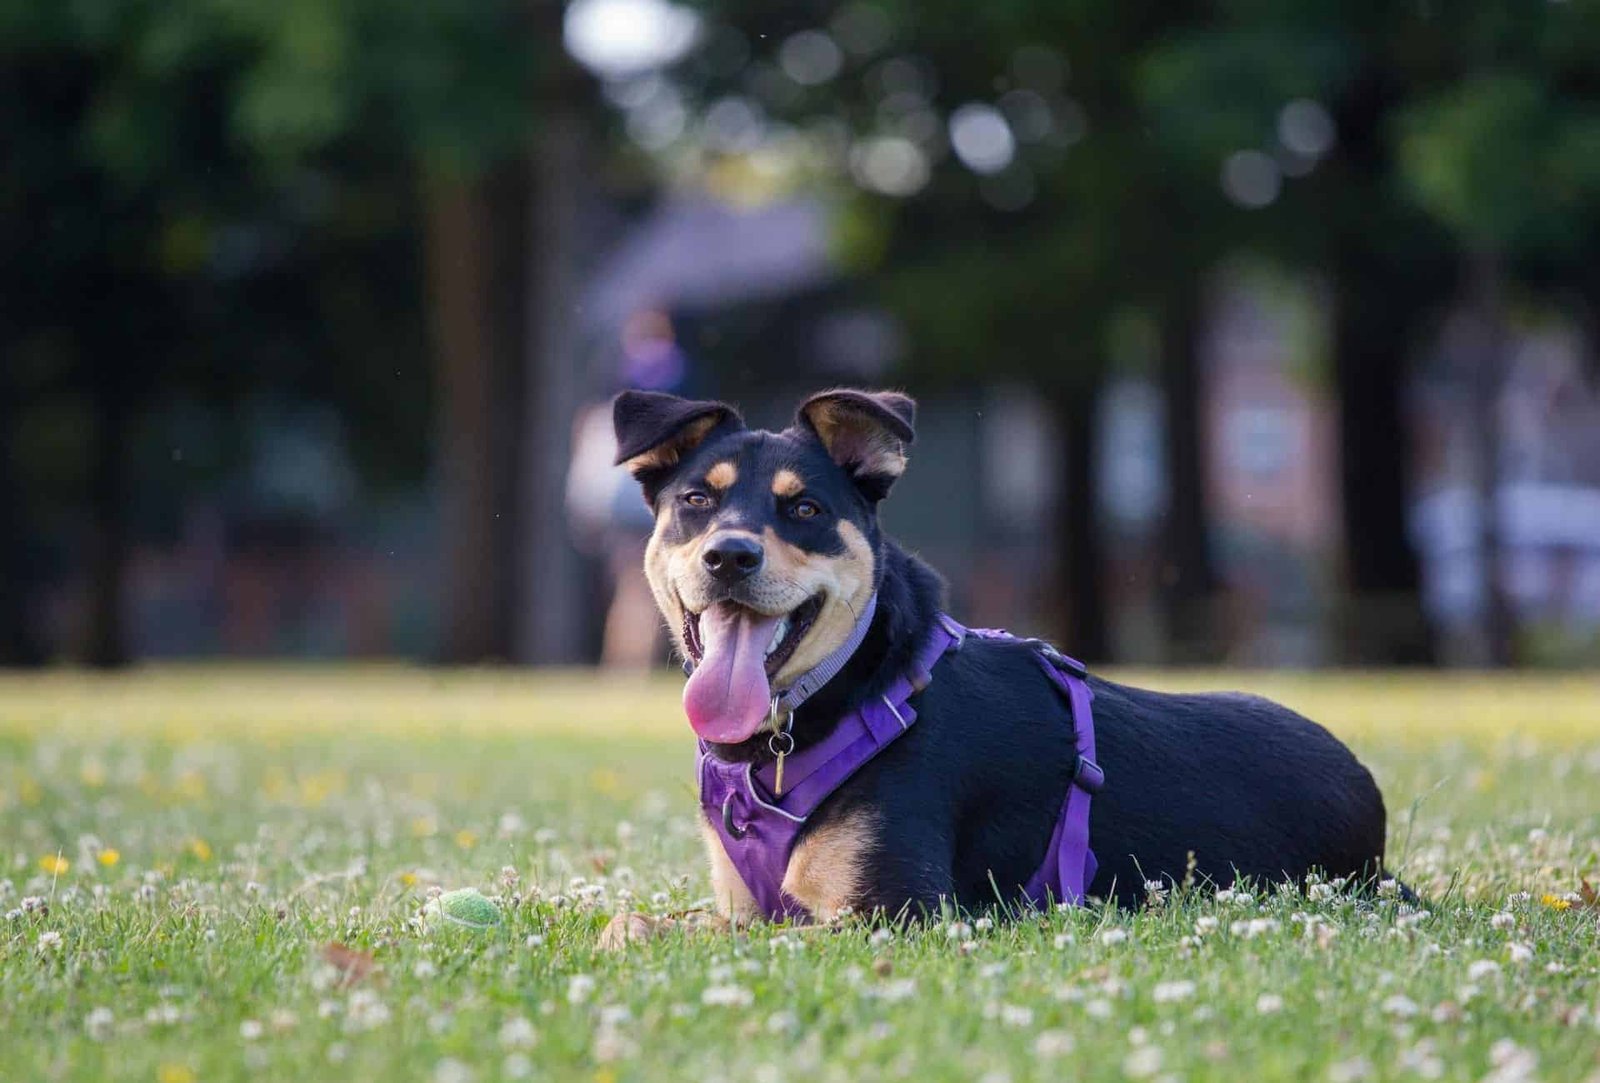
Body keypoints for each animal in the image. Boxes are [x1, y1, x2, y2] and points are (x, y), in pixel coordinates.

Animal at [604, 383, 1395, 927]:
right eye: (697, 500)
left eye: (805, 510)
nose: (730, 555)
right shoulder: (742, 904)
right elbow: (643, 922)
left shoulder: (891, 910)